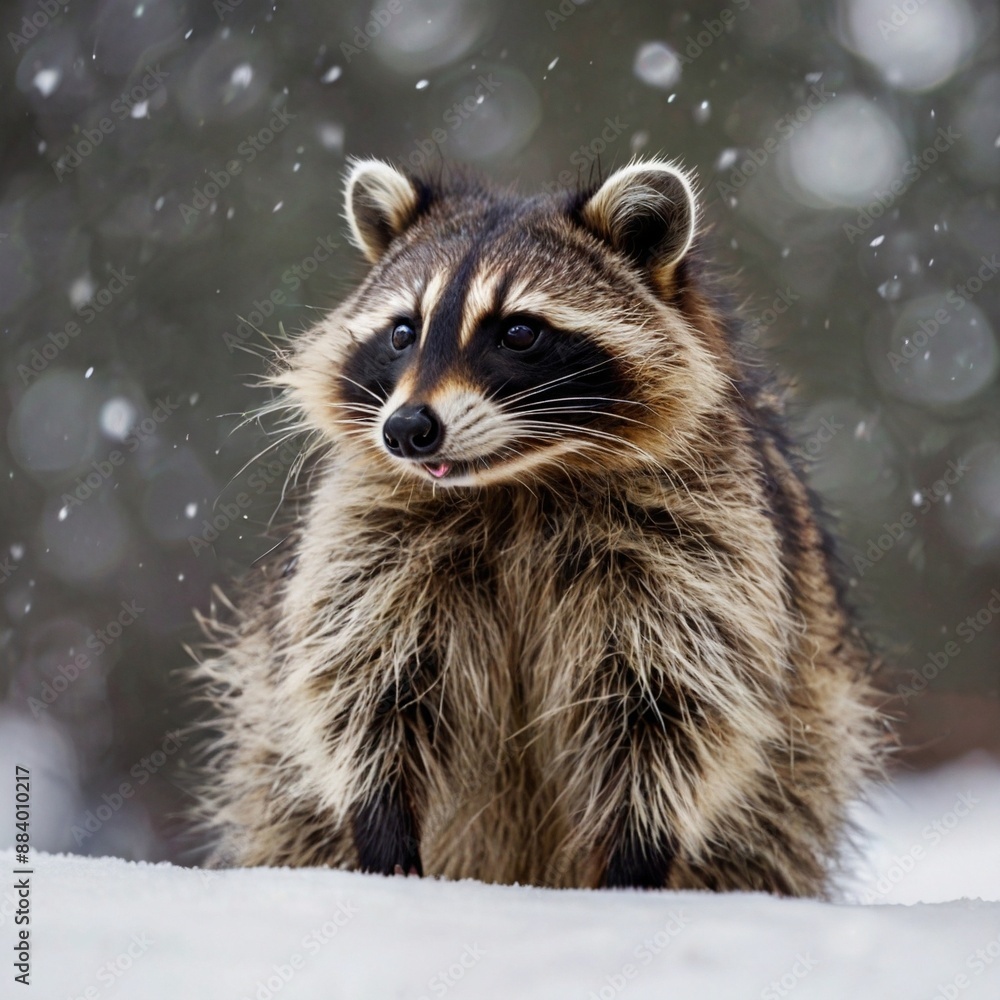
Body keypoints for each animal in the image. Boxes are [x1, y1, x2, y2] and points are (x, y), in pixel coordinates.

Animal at [191, 157, 886, 896]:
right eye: (403, 332)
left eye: (518, 332)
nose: (405, 429)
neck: (514, 483)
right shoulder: (371, 527)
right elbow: (365, 677)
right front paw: (381, 817)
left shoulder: (708, 534)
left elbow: (677, 697)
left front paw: (636, 852)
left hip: (802, 766)